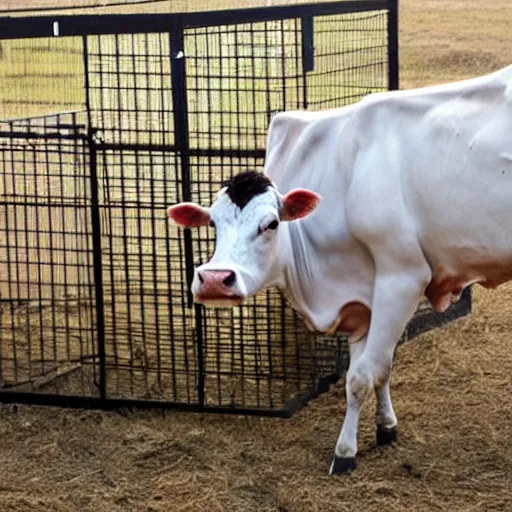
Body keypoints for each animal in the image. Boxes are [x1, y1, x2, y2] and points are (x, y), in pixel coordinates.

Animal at [167, 66, 512, 474]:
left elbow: (361, 376)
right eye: (213, 224)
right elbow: (380, 367)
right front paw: (386, 427)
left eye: (271, 224)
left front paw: (345, 452)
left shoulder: (402, 277)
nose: (215, 279)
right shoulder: (364, 296)